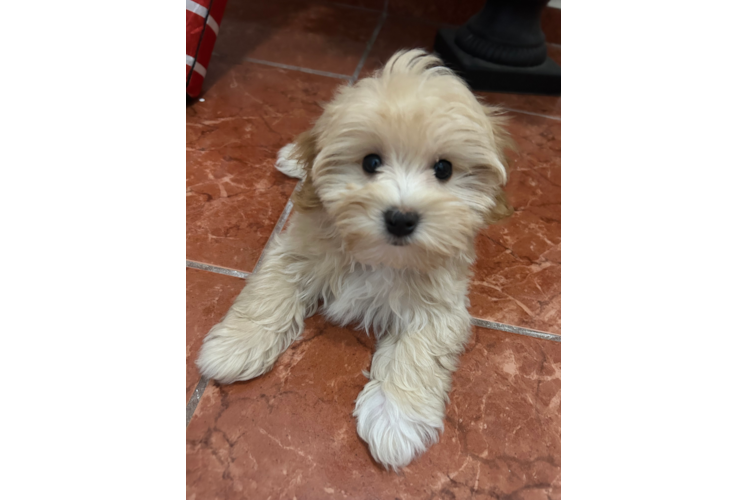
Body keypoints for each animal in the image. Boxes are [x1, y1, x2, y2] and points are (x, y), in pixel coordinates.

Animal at [196, 48, 516, 470]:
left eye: (444, 168)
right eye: (370, 162)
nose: (401, 218)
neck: (379, 254)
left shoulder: (442, 302)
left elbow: (419, 350)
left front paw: (397, 418)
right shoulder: (297, 250)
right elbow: (269, 291)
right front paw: (235, 345)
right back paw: (294, 157)